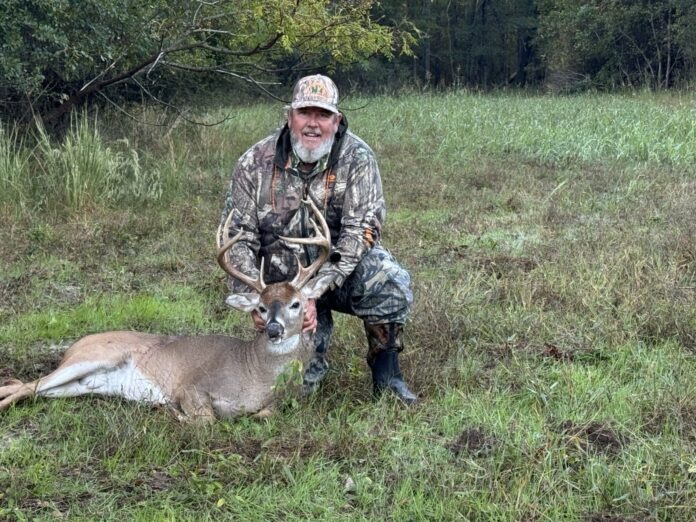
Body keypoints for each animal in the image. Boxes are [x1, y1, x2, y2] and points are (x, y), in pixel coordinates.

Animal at [0, 199, 332, 422]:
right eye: (261, 308)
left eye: (296, 304)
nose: (274, 329)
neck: (255, 374)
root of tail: (73, 346)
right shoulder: (191, 387)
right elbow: (207, 419)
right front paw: (171, 411)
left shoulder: (279, 403)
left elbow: (265, 414)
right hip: (93, 357)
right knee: (28, 385)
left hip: (82, 385)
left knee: (30, 388)